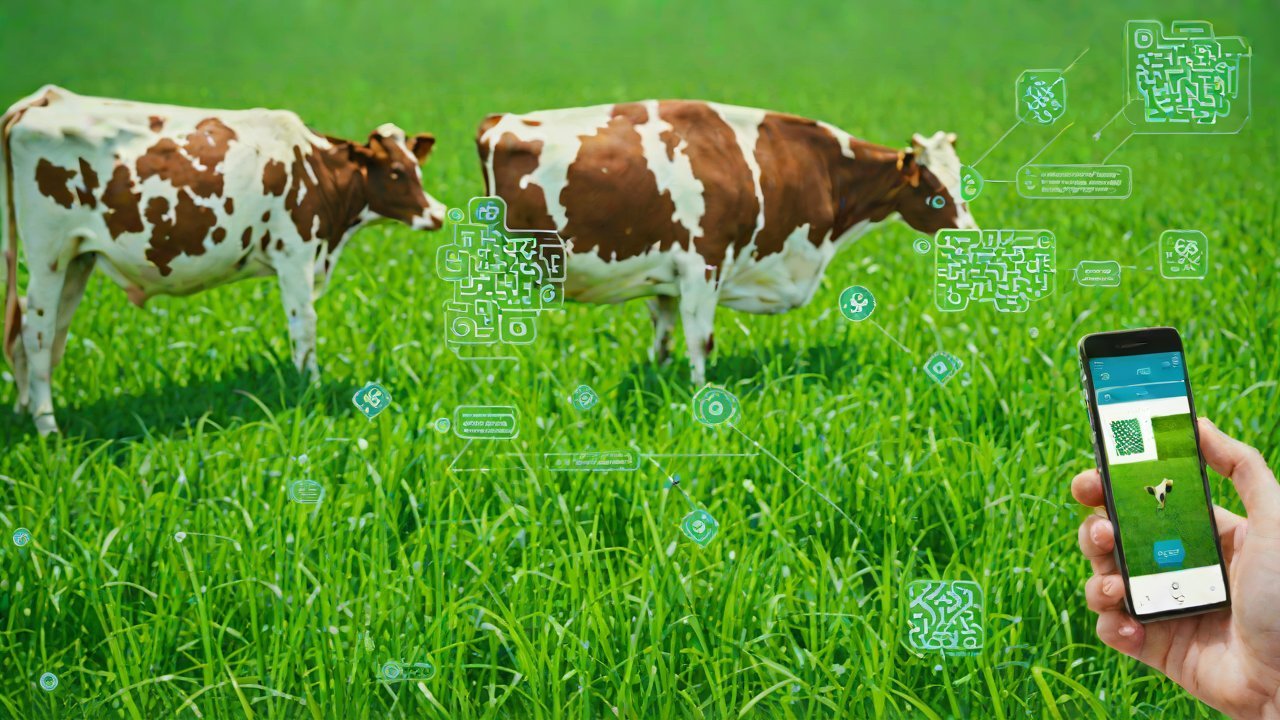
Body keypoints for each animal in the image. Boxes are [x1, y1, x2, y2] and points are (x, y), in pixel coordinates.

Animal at [2, 86, 446, 434]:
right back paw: (47, 427)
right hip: (47, 254)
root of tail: (46, 97)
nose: (439, 213)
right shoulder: (295, 253)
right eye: (394, 171)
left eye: (416, 167)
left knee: (43, 334)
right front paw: (312, 388)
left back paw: (26, 413)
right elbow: (304, 326)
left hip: (77, 258)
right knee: (37, 331)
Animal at [477, 100, 976, 383]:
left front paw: (661, 382)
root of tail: (497, 121)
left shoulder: (665, 278)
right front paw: (700, 402)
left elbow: (663, 341)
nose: (971, 237)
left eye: (963, 179)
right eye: (935, 192)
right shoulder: (702, 264)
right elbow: (702, 342)